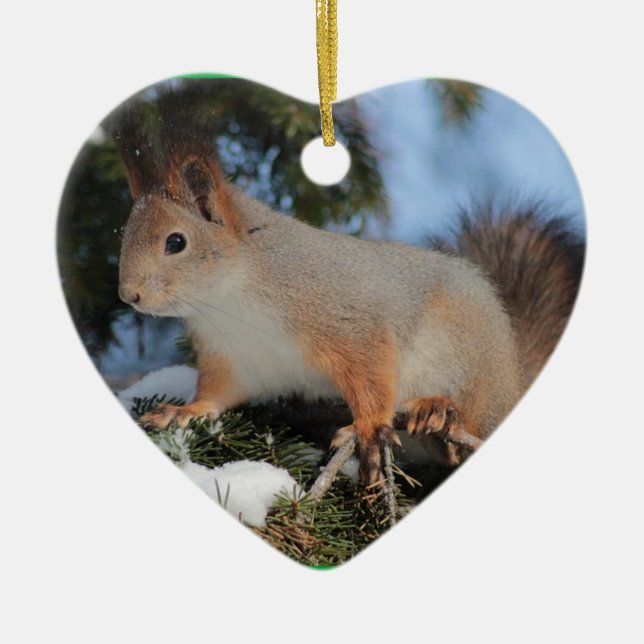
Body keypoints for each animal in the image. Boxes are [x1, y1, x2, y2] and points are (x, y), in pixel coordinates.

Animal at [116, 122, 584, 484]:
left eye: (176, 242)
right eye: (124, 233)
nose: (128, 295)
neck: (229, 300)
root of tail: (513, 377)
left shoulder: (347, 320)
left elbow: (371, 376)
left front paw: (370, 427)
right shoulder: (234, 357)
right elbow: (217, 395)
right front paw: (183, 412)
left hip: (466, 357)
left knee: (471, 421)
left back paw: (440, 411)